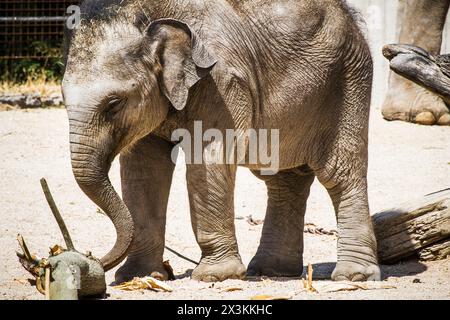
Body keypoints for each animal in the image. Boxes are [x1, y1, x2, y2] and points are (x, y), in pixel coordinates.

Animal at [62, 0, 380, 282]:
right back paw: (270, 271)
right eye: (63, 100)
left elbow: (208, 159)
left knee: (339, 173)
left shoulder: (221, 81)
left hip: (348, 80)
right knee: (282, 178)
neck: (150, 13)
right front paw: (138, 276)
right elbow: (143, 169)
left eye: (114, 104)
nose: (92, 258)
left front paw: (214, 276)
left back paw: (353, 275)